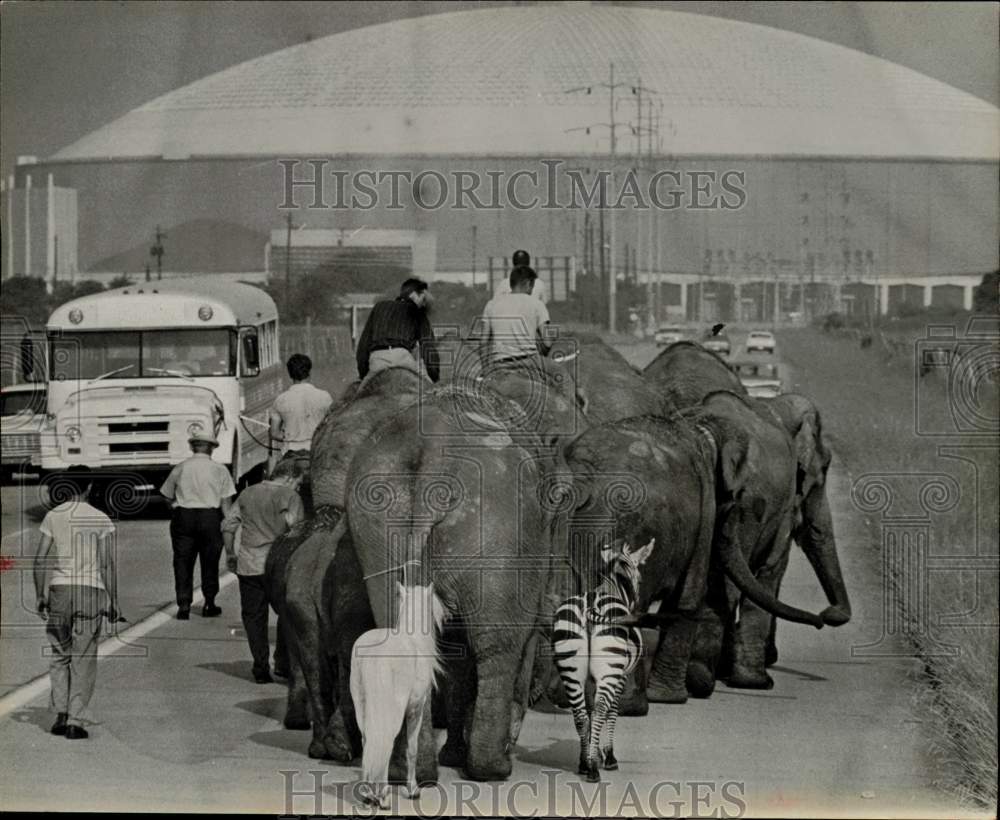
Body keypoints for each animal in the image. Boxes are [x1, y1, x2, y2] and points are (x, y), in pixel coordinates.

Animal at [352, 580, 446, 812]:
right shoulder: (415, 709)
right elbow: (411, 748)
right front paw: (413, 789)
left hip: (361, 706)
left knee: (368, 740)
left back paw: (368, 793)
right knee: (387, 740)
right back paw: (382, 796)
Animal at [548, 540, 656, 780]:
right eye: (641, 580)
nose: (638, 603)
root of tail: (589, 603)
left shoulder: (591, 678)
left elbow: (588, 711)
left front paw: (592, 753)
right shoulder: (622, 675)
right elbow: (612, 711)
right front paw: (608, 756)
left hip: (571, 670)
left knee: (580, 714)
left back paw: (584, 763)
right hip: (610, 669)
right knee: (599, 710)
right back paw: (594, 770)